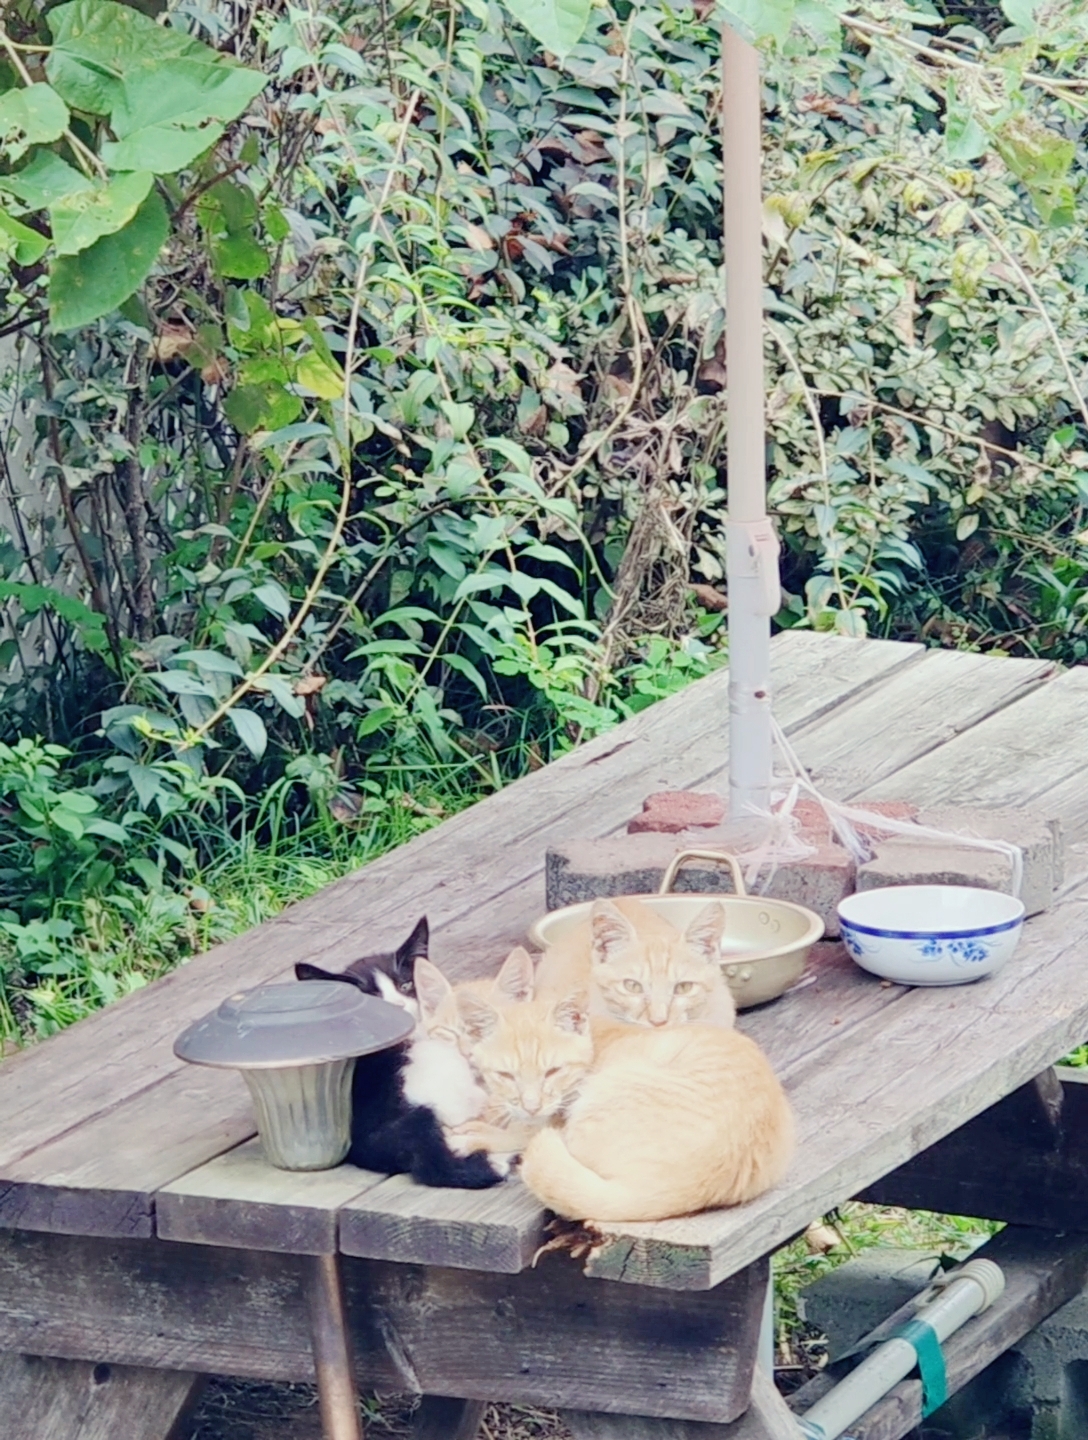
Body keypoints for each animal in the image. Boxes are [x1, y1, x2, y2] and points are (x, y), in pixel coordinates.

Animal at [456, 979, 794, 1223]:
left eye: (553, 1071)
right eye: (506, 1074)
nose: (531, 1104)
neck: (596, 1040)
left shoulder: (553, 1118)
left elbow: (522, 1132)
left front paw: (480, 1133)